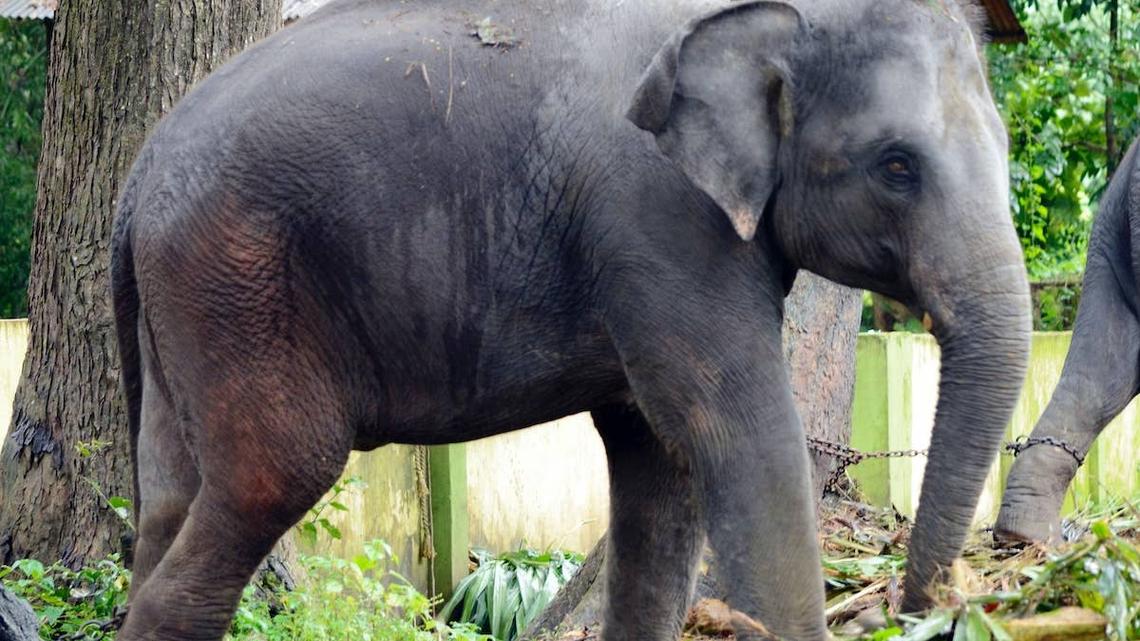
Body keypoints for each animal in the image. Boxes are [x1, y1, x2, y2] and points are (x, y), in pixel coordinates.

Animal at [109, 0, 1030, 639]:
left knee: (168, 504)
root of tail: (138, 172)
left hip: (187, 307)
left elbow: (660, 470)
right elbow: (739, 435)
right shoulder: (658, 214)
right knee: (269, 477)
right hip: (237, 280)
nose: (921, 603)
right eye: (897, 166)